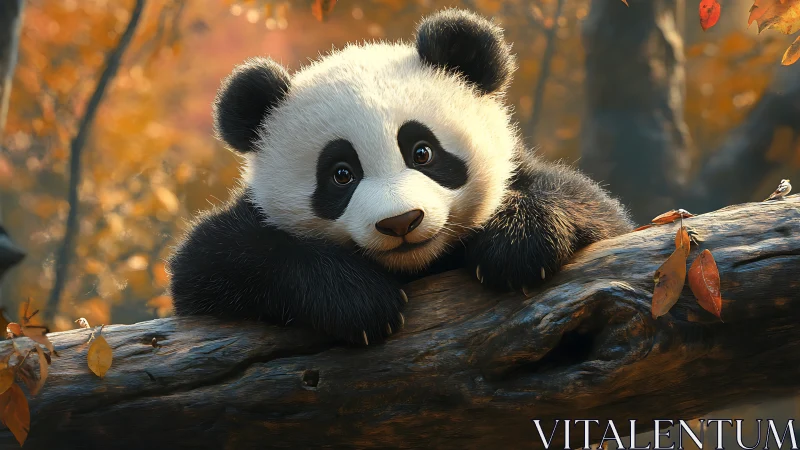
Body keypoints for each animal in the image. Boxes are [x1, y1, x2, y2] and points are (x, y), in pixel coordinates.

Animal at [166, 8, 634, 346]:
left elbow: (595, 208)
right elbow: (213, 259)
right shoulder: (226, 253)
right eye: (341, 175)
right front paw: (359, 302)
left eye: (421, 152)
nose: (400, 222)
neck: (417, 266)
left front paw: (517, 245)